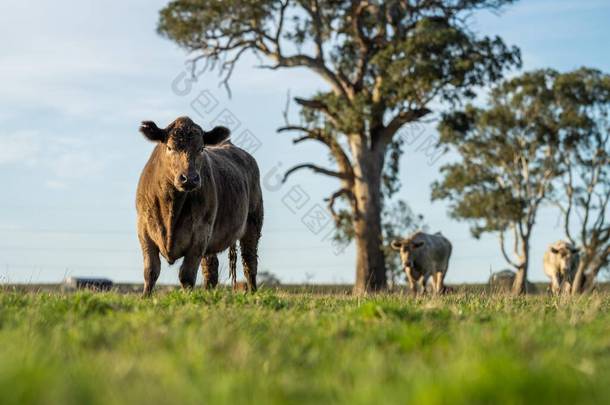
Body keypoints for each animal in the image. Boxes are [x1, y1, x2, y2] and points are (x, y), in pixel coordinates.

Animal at [137, 115, 262, 296]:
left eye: (201, 148)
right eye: (170, 147)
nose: (189, 178)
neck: (171, 207)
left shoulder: (200, 235)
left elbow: (186, 275)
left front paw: (188, 299)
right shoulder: (144, 230)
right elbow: (151, 271)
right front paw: (145, 297)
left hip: (253, 224)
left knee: (249, 262)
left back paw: (252, 293)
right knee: (211, 269)